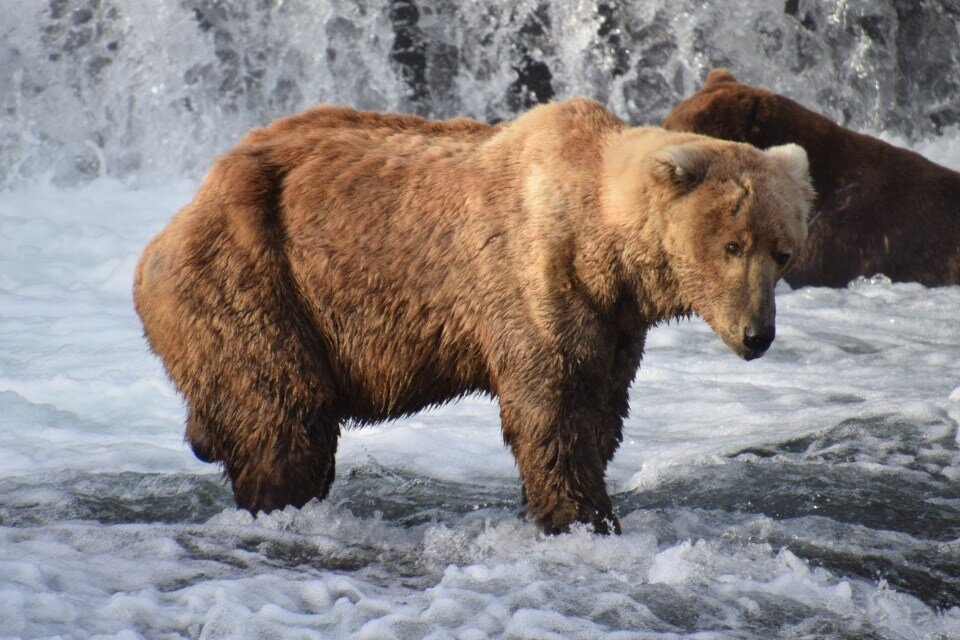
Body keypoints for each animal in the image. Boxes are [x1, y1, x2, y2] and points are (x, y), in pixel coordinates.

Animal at [133, 97, 808, 532]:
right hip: (258, 281)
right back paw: (278, 501)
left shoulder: (615, 323)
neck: (602, 246)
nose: (758, 334)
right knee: (282, 410)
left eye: (783, 251)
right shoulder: (533, 282)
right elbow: (552, 411)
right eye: (733, 245)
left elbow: (600, 410)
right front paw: (582, 516)